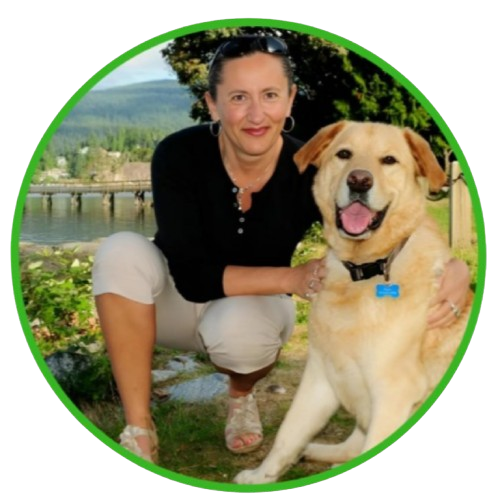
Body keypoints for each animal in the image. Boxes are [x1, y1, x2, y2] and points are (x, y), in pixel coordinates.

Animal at [234, 121, 473, 484]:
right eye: (344, 154)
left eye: (389, 160)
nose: (359, 180)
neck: (364, 269)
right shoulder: (319, 376)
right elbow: (289, 433)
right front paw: (262, 476)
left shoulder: (394, 393)